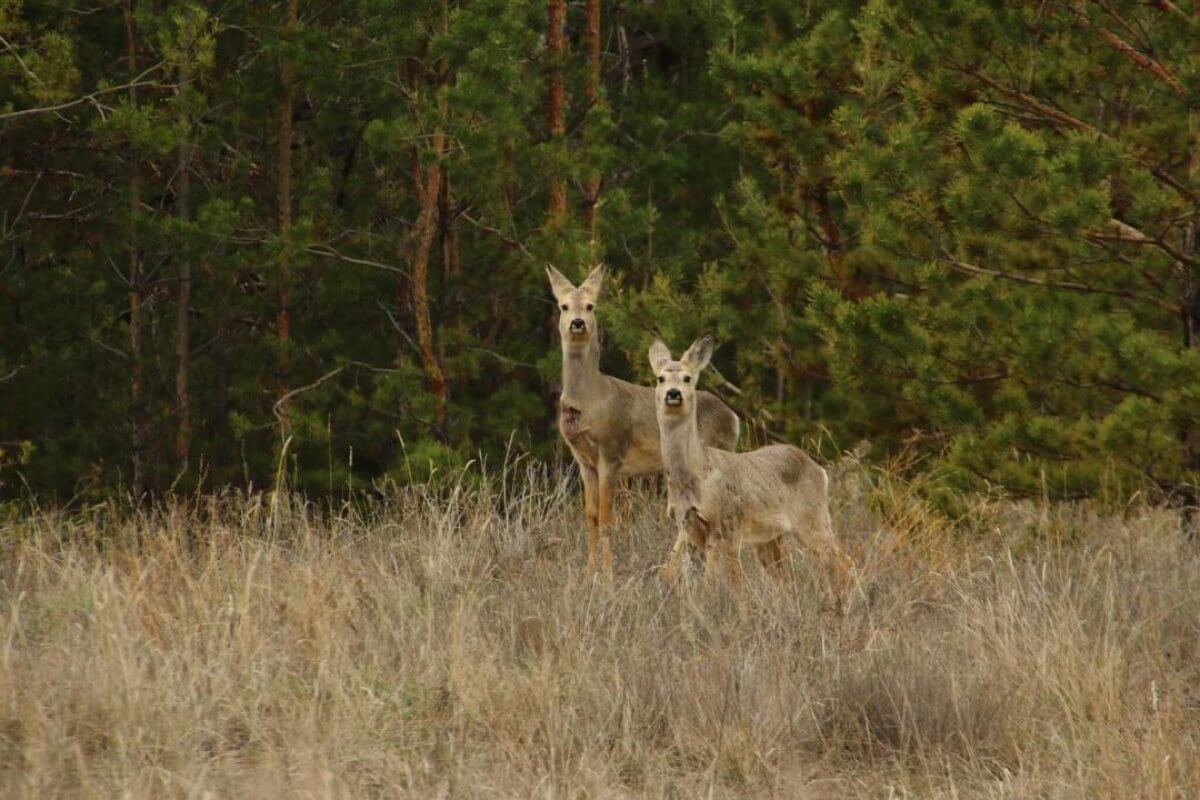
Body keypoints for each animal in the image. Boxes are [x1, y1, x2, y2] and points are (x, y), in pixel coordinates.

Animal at [547, 267, 739, 575]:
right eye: (563, 306)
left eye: (591, 306)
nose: (577, 322)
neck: (590, 399)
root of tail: (733, 418)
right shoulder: (583, 460)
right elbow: (590, 517)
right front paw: (588, 574)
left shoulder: (611, 452)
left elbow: (607, 517)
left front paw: (608, 576)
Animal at [652, 331, 849, 594]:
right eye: (660, 378)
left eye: (687, 378)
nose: (673, 393)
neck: (696, 475)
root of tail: (819, 470)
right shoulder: (687, 527)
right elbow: (675, 574)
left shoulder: (722, 525)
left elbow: (711, 583)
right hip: (772, 537)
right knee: (788, 578)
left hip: (812, 519)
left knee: (842, 561)